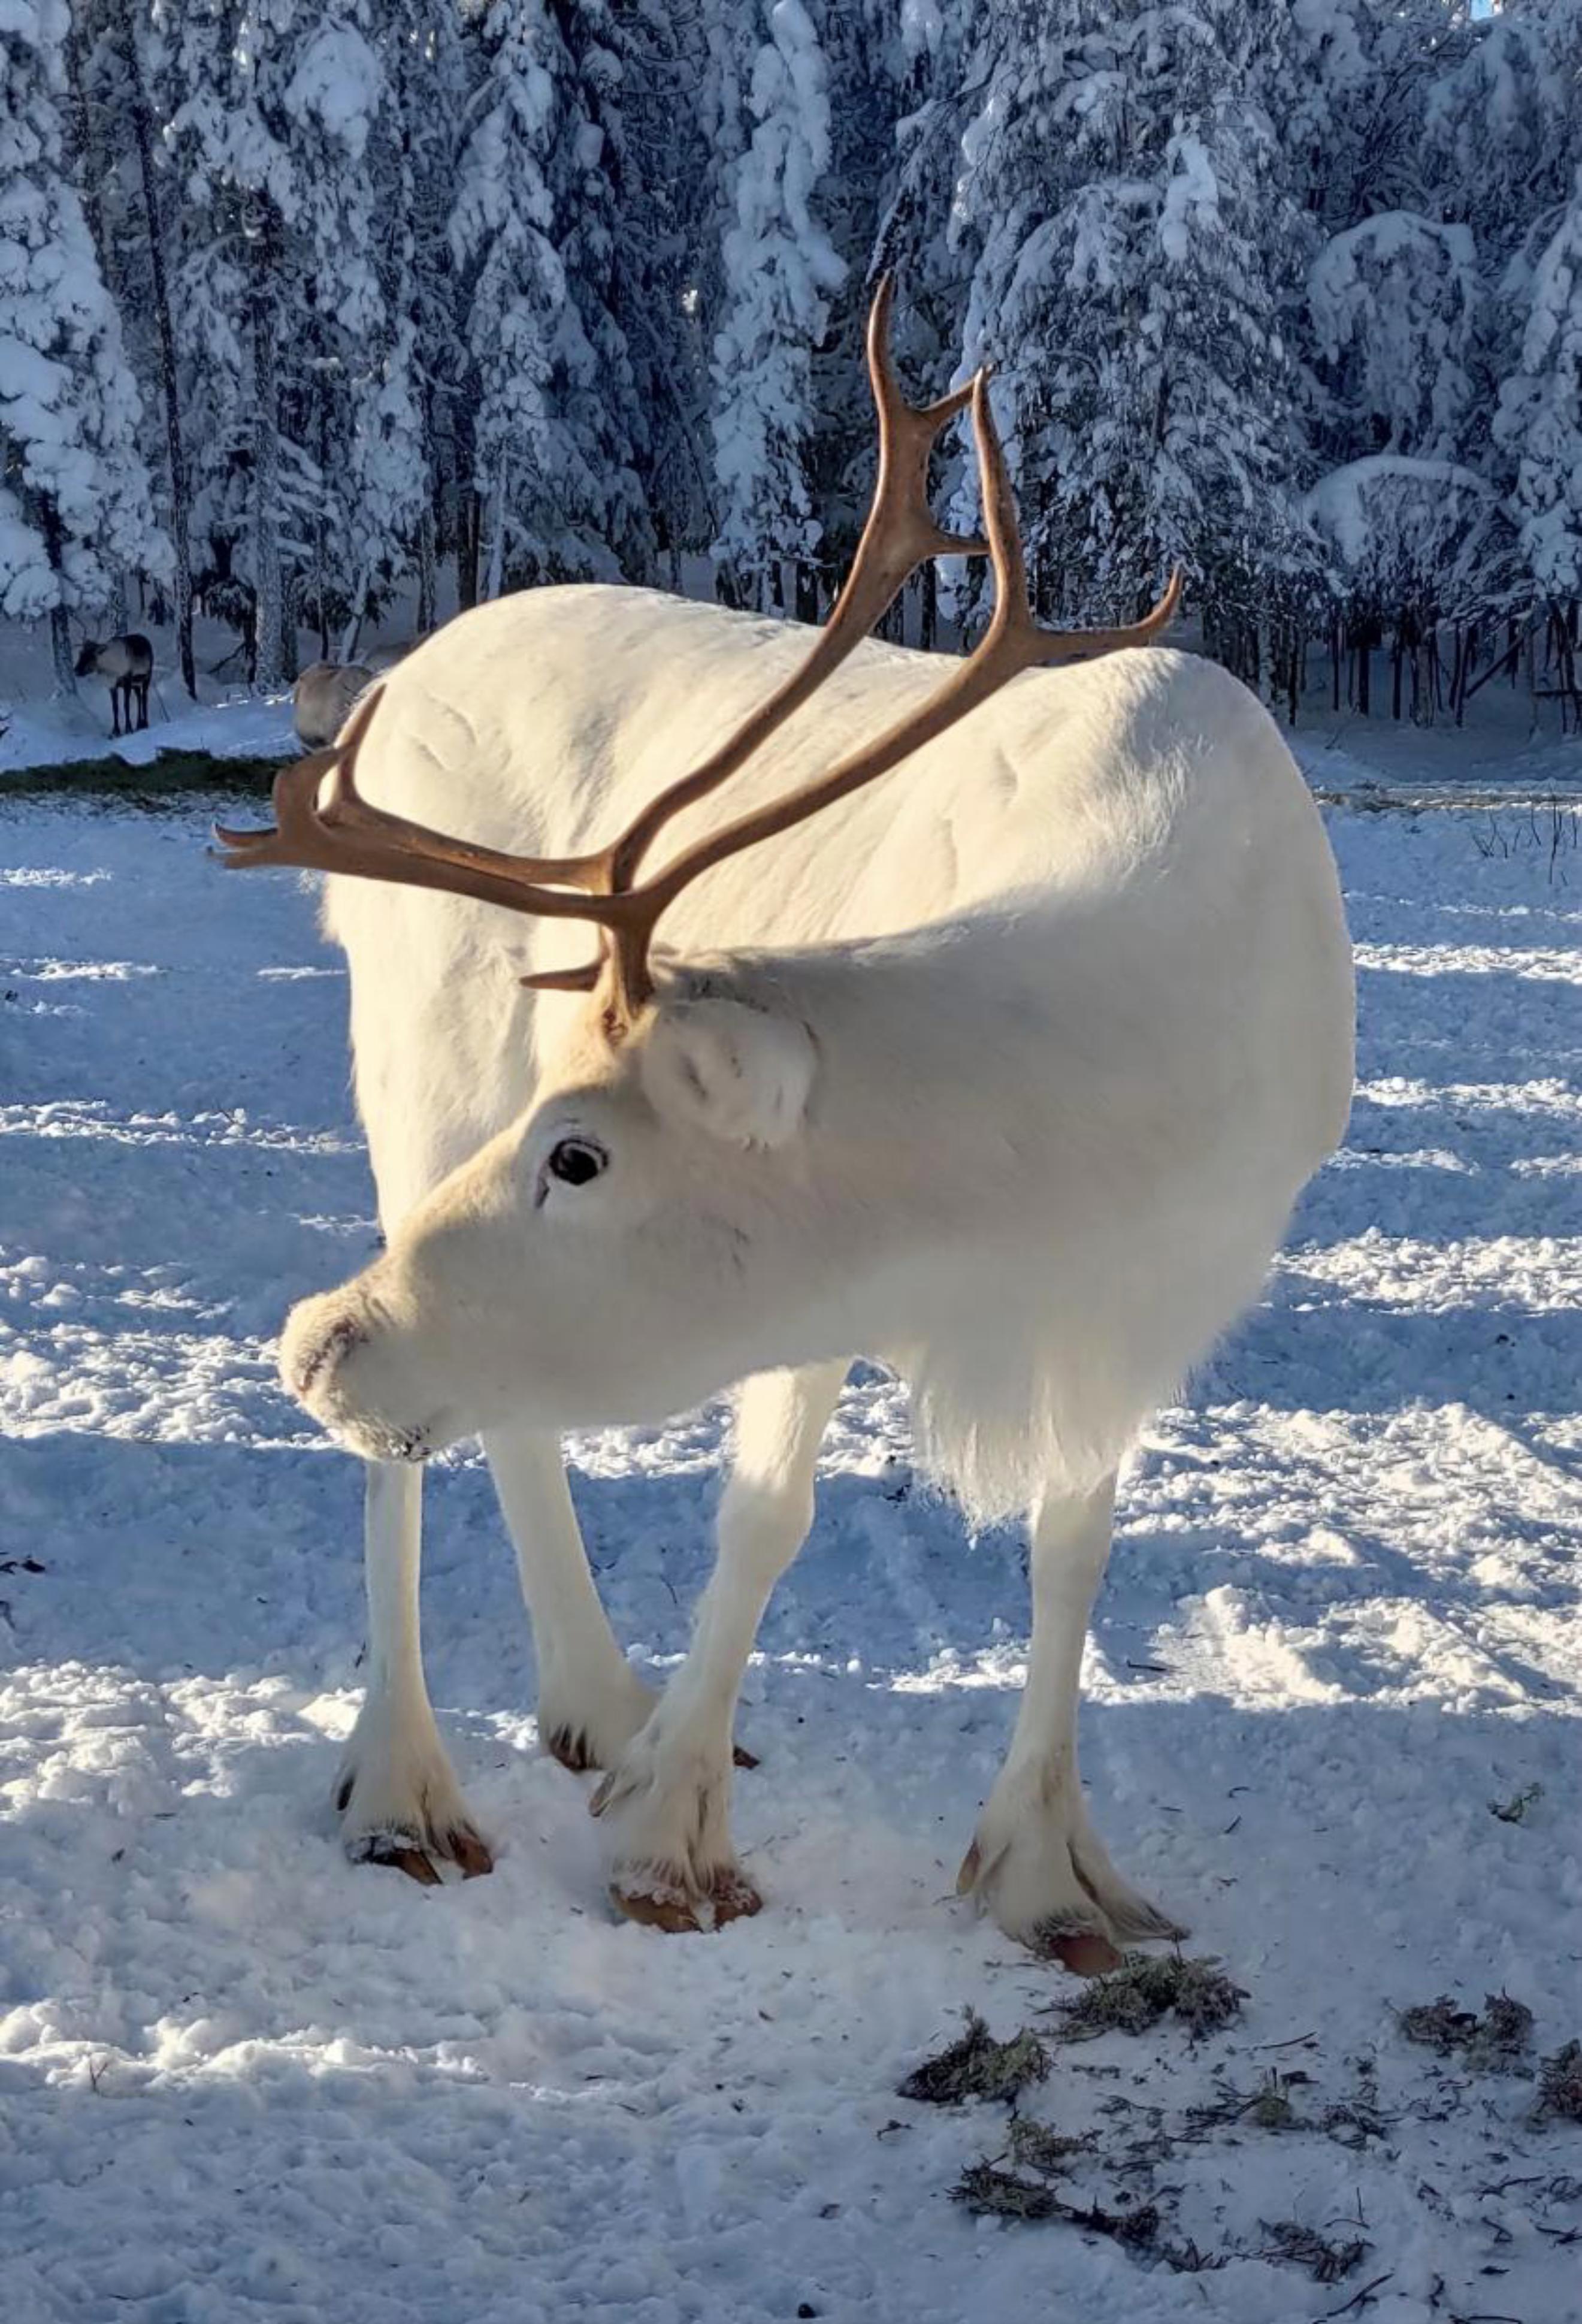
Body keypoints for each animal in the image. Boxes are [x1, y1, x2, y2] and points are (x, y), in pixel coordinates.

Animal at [75, 633, 153, 736]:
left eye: (91, 656)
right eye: (80, 654)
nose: (76, 671)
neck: (110, 668)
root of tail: (145, 639)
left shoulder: (127, 681)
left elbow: (126, 706)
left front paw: (128, 729)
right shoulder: (112, 686)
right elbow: (115, 708)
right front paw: (116, 731)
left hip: (147, 678)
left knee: (144, 698)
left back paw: (145, 724)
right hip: (135, 684)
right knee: (139, 697)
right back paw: (138, 724)